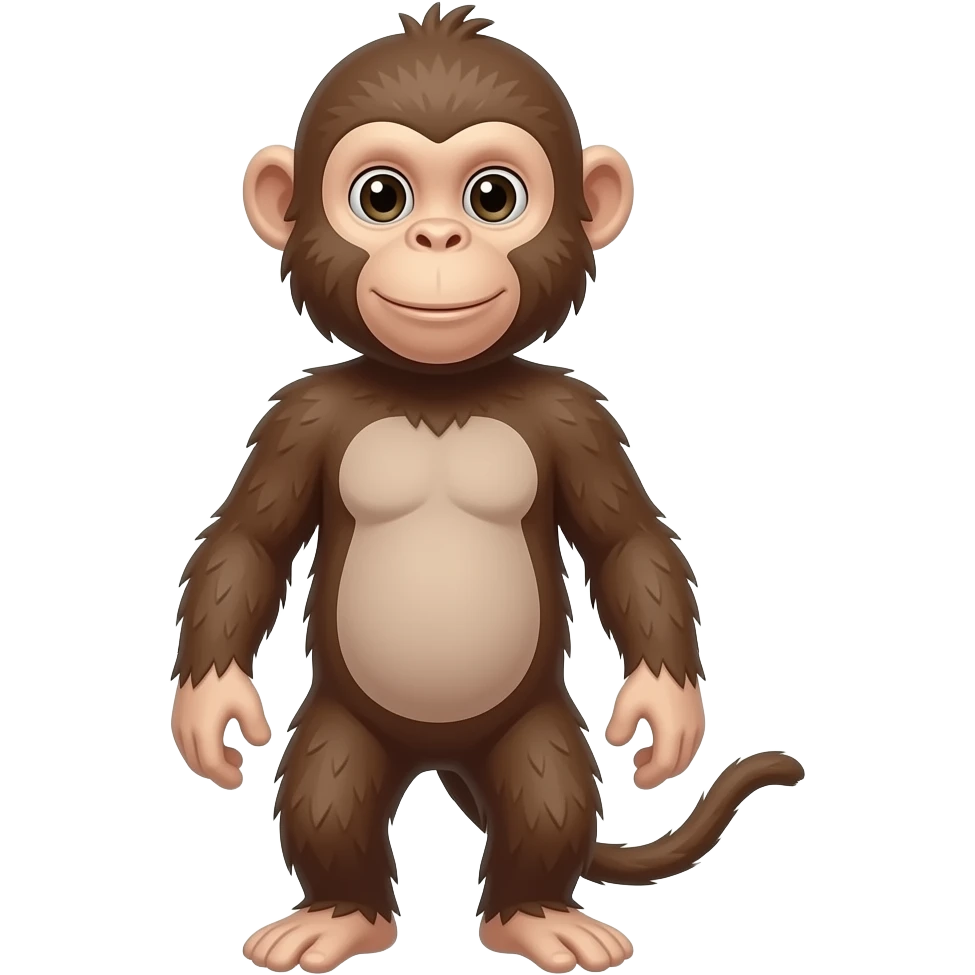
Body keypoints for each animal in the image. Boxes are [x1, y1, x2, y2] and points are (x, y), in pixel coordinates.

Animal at [170, 5, 805, 973]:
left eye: (493, 197)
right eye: (382, 197)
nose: (439, 240)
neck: (440, 390)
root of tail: (441, 757)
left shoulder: (575, 415)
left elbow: (627, 541)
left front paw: (665, 707)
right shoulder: (299, 415)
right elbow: (248, 539)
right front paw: (211, 709)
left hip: (530, 720)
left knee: (547, 787)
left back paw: (535, 913)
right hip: (349, 720)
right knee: (328, 783)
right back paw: (340, 912)